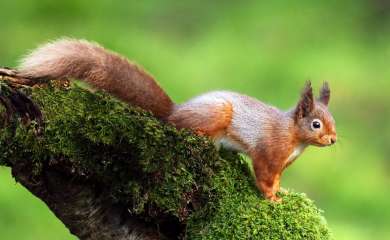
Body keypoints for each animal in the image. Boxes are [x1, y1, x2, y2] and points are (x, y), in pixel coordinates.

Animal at [12, 38, 336, 202]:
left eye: (332, 120)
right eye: (316, 124)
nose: (333, 140)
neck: (294, 135)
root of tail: (175, 110)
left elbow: (279, 178)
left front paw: (282, 192)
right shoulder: (269, 151)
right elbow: (266, 175)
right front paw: (272, 198)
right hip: (215, 114)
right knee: (184, 128)